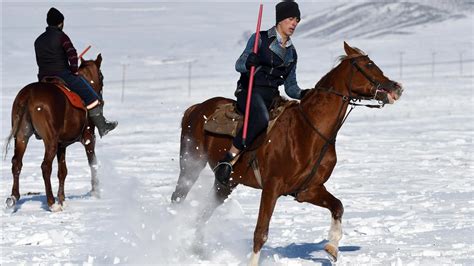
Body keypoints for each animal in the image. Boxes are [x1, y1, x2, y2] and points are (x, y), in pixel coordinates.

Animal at [4, 54, 105, 212]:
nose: (101, 99)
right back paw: (51, 202)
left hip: (21, 136)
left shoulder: (61, 145)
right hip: (49, 140)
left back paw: (13, 197)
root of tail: (28, 95)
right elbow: (92, 163)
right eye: (101, 76)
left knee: (16, 163)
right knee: (45, 166)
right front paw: (95, 193)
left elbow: (62, 172)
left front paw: (62, 199)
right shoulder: (89, 137)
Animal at [172, 42, 406, 262]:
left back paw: (197, 249)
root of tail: (196, 108)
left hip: (226, 183)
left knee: (203, 213)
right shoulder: (271, 187)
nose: (397, 87)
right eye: (368, 65)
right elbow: (260, 233)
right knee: (178, 198)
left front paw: (332, 248)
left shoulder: (308, 190)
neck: (310, 130)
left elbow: (337, 206)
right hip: (190, 165)